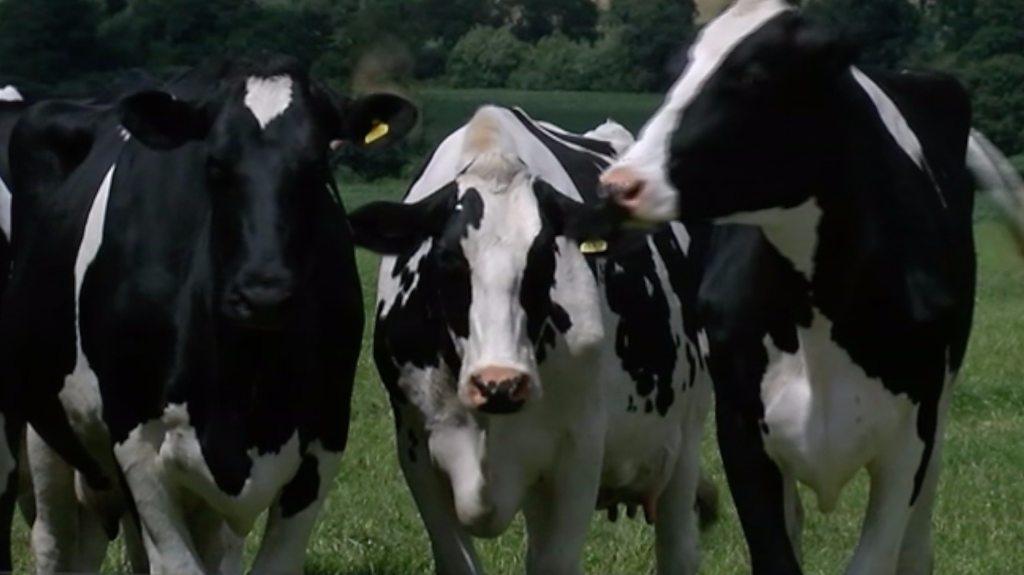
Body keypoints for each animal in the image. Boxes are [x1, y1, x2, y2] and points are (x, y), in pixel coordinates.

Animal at [1, 54, 415, 572]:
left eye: (318, 166)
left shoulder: (323, 440)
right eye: (215, 165)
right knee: (56, 540)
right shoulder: (136, 441)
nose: (263, 293)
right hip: (47, 438)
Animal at [348, 103, 716, 572]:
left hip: (685, 438)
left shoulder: (578, 451)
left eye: (544, 257)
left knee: (679, 545)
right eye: (447, 258)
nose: (499, 383)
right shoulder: (417, 450)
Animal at [598, 1, 1024, 572]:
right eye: (676, 72)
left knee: (917, 542)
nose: (618, 187)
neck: (819, 313)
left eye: (755, 76)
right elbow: (775, 554)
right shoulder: (741, 430)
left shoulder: (910, 439)